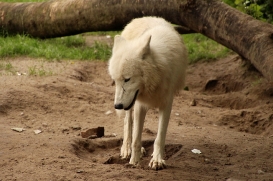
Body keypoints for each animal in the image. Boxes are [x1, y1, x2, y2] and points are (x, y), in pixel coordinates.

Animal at [108, 16, 187, 170]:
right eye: (116, 80)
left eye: (127, 79)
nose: (117, 106)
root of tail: (141, 17)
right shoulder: (140, 104)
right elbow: (136, 138)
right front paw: (134, 161)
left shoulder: (167, 104)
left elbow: (160, 136)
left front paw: (157, 160)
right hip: (129, 105)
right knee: (128, 122)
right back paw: (126, 149)